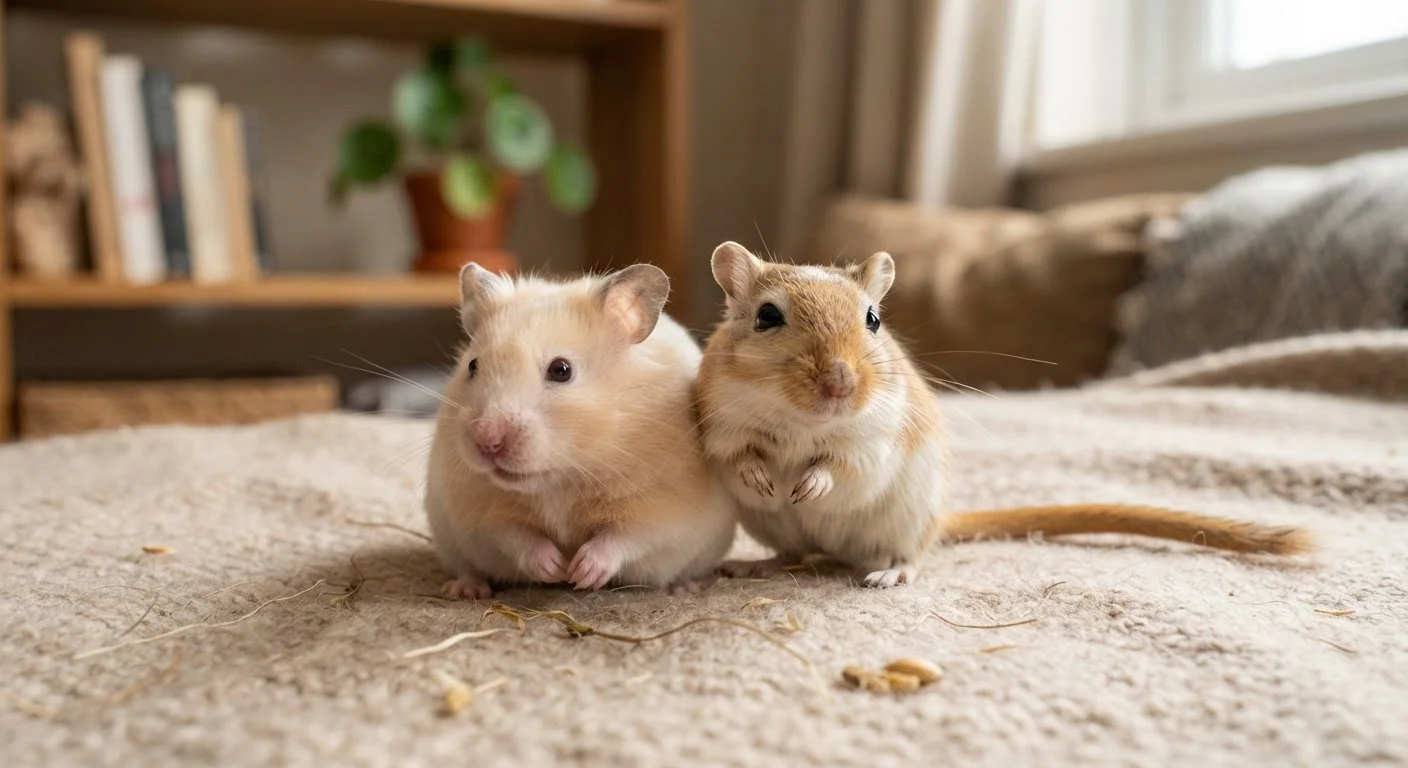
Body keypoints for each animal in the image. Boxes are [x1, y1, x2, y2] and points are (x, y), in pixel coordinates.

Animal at [424, 263, 737, 599]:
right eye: (472, 366)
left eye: (561, 370)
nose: (486, 438)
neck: (563, 477)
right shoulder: (480, 511)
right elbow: (514, 534)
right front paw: (555, 569)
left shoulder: (664, 508)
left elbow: (625, 536)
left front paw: (580, 572)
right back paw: (465, 589)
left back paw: (687, 588)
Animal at [695, 242, 1313, 588]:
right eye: (767, 316)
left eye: (873, 319)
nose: (840, 385)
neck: (806, 423)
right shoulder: (721, 423)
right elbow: (738, 453)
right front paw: (763, 479)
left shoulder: (875, 439)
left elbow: (842, 466)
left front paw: (806, 485)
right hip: (782, 531)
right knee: (793, 553)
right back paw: (753, 566)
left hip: (908, 518)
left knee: (910, 555)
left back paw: (890, 573)